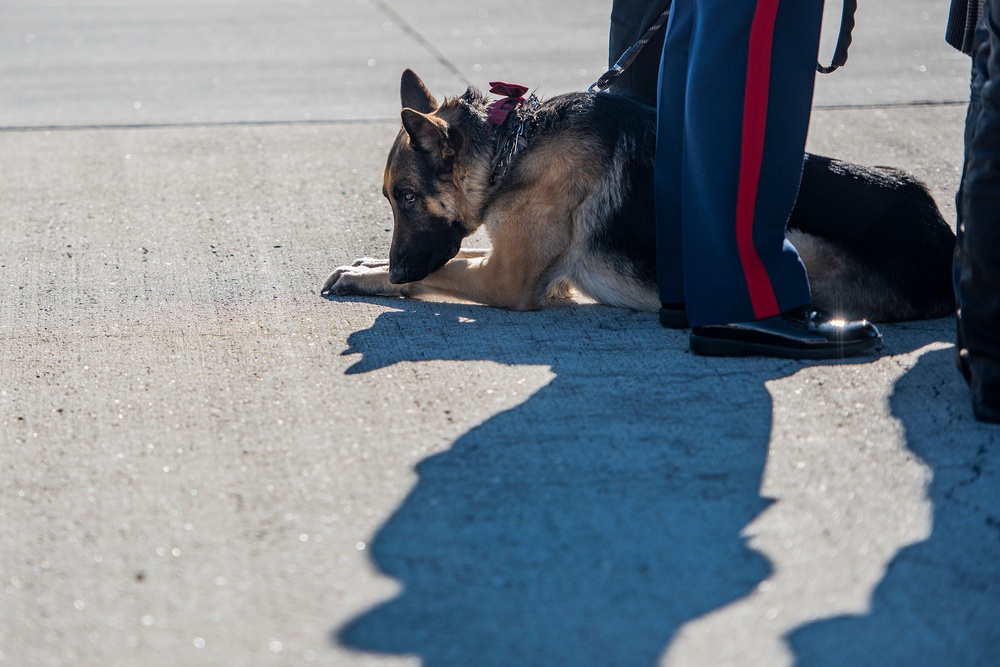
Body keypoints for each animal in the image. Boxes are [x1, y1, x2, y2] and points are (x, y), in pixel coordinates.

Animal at [324, 70, 956, 320]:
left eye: (408, 198)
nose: (397, 267)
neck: (510, 148)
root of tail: (943, 238)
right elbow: (453, 258)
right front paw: (367, 266)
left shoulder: (506, 281)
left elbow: (440, 272)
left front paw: (370, 279)